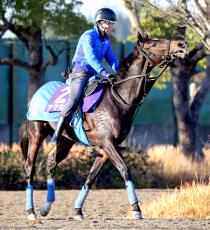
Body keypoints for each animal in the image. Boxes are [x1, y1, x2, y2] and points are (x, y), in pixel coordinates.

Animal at [18, 32, 188, 221]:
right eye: (154, 44)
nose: (181, 44)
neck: (118, 99)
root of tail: (36, 95)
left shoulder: (104, 149)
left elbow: (91, 177)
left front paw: (78, 211)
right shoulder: (108, 143)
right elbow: (124, 170)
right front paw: (136, 209)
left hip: (66, 140)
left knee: (50, 164)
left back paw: (46, 207)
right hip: (36, 136)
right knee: (30, 168)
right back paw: (31, 211)